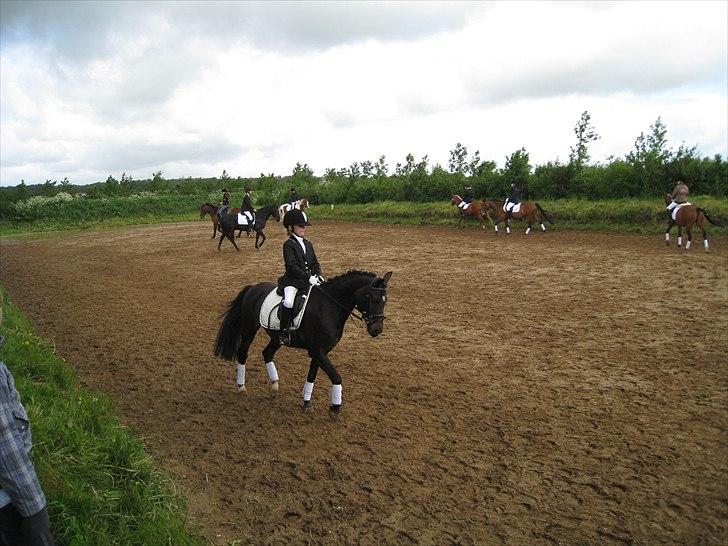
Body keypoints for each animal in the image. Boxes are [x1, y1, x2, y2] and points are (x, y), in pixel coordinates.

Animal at [213, 268, 392, 416]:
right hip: (249, 328)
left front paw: (306, 402)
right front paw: (335, 407)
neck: (329, 306)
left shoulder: (321, 351)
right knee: (242, 353)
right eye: (374, 299)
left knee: (267, 353)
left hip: (276, 337)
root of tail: (253, 287)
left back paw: (274, 384)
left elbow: (312, 375)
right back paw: (241, 387)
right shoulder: (317, 351)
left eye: (385, 300)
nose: (377, 330)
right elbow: (336, 377)